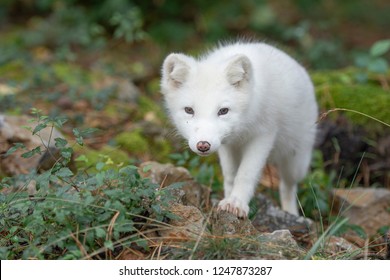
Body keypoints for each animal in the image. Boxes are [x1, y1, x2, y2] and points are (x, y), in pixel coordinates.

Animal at [160, 41, 318, 217]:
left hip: (296, 162)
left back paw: (291, 213)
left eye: (223, 111)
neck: (242, 128)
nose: (203, 145)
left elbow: (245, 174)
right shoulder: (226, 144)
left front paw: (237, 203)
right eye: (189, 110)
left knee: (288, 186)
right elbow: (230, 175)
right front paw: (228, 200)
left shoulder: (264, 135)